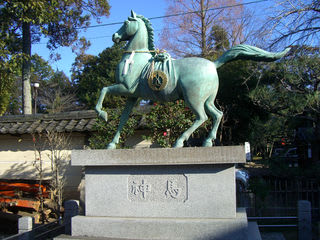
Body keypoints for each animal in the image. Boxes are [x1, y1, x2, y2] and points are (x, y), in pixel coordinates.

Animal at [95, 10, 290, 149]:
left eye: (126, 22)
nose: (115, 37)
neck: (136, 57)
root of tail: (213, 64)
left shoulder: (126, 88)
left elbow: (104, 90)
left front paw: (102, 115)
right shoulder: (132, 96)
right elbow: (123, 119)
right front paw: (111, 144)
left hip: (193, 98)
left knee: (202, 117)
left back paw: (179, 142)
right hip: (207, 100)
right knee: (217, 115)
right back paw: (207, 142)